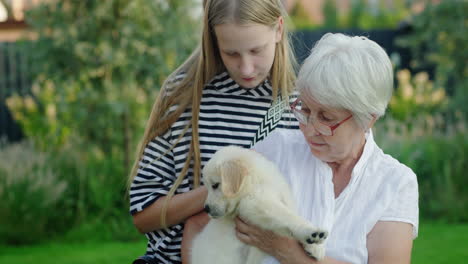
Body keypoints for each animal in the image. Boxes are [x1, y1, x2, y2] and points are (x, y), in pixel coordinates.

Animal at [189, 145, 326, 262]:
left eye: (215, 185)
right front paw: (310, 231)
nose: (206, 209)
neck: (256, 182)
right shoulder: (256, 204)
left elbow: (289, 217)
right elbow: (286, 216)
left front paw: (314, 247)